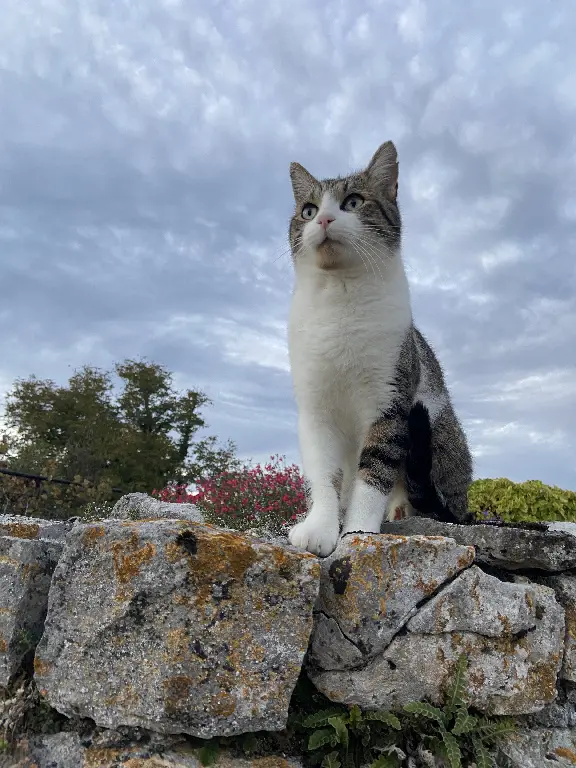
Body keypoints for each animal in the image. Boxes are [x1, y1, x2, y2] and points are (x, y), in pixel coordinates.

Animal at [286, 141, 472, 556]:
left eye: (353, 202)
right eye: (308, 211)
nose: (324, 220)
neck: (341, 298)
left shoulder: (389, 401)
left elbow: (374, 474)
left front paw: (358, 533)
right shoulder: (315, 406)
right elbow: (323, 473)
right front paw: (320, 527)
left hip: (438, 430)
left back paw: (402, 509)